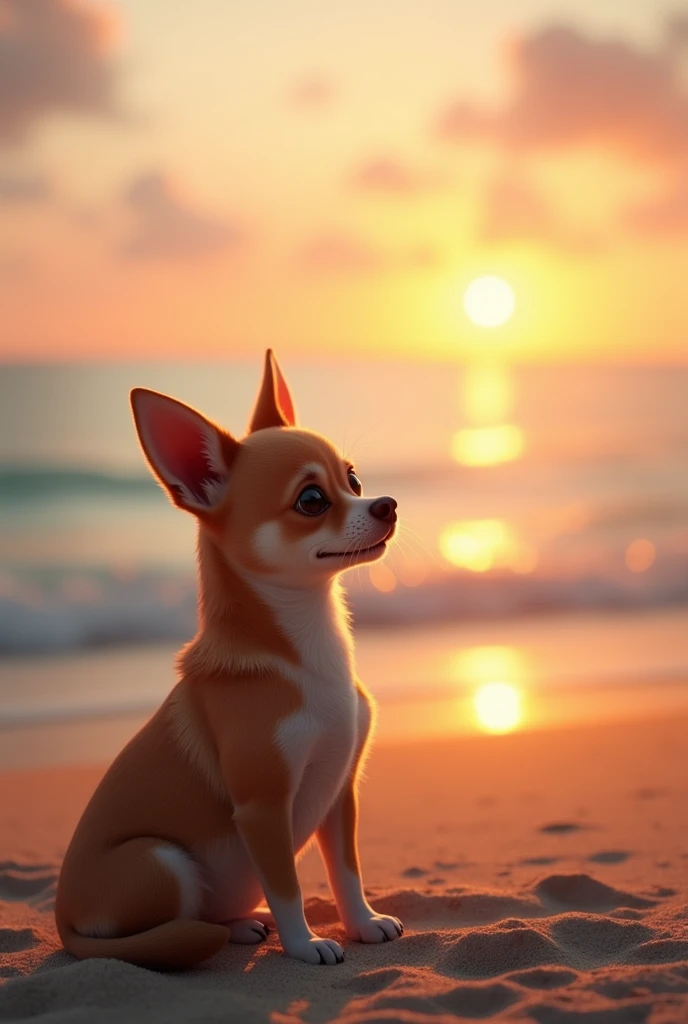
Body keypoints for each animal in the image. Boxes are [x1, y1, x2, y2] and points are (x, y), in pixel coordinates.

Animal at [59, 350, 405, 966]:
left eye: (354, 479)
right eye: (311, 500)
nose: (386, 504)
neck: (305, 656)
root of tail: (58, 917)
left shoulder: (340, 791)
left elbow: (346, 871)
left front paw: (362, 924)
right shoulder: (263, 810)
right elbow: (288, 887)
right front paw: (305, 944)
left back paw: (241, 925)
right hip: (160, 860)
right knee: (143, 934)